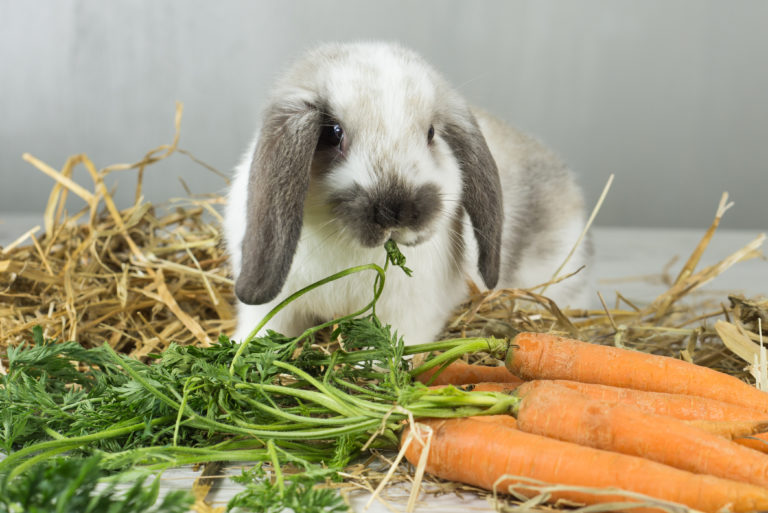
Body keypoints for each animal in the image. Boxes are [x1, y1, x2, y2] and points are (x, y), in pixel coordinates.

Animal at [225, 41, 592, 344]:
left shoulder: (410, 316)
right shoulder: (276, 308)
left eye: (431, 134)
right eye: (333, 133)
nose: (394, 212)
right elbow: (264, 331)